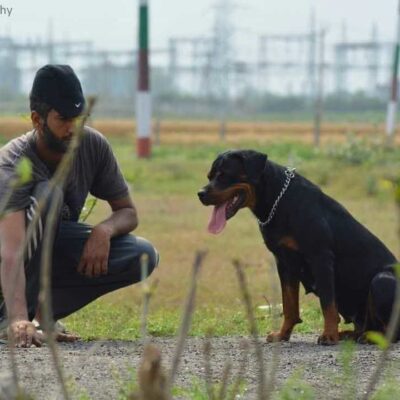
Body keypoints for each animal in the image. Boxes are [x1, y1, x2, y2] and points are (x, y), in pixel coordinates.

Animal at [198, 149, 398, 344]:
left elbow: (327, 303)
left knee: (392, 331)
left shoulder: (321, 257)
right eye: (209, 176)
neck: (276, 200)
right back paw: (351, 334)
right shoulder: (284, 262)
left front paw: (329, 335)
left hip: (382, 280)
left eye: (224, 175)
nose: (200, 194)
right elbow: (289, 305)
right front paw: (282, 335)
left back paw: (366, 337)